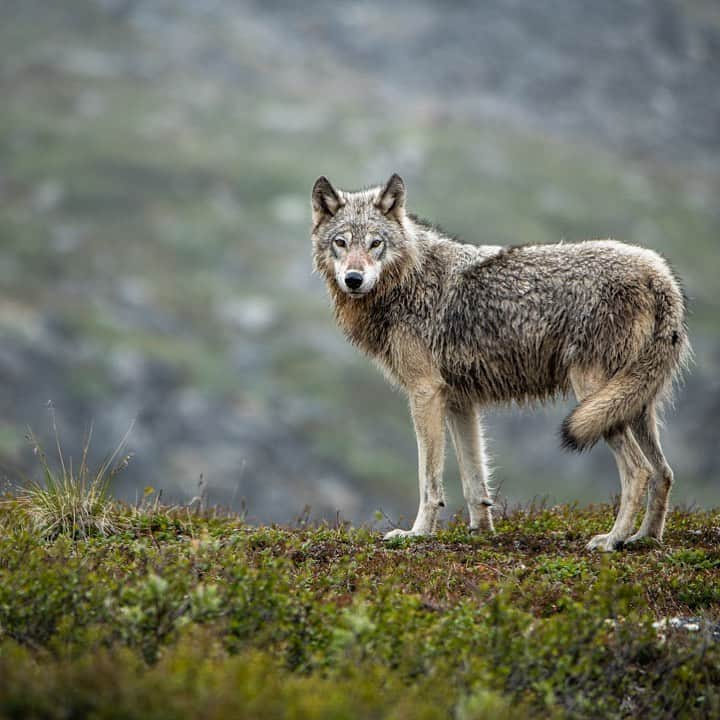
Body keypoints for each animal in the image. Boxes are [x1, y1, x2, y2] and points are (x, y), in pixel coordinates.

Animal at [310, 174, 692, 552]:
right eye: (341, 243)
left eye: (375, 244)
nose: (354, 279)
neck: (408, 279)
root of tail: (660, 275)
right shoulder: (459, 402)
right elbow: (474, 481)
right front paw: (480, 532)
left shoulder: (425, 393)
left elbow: (429, 481)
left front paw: (417, 533)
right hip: (631, 404)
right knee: (664, 473)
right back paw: (645, 538)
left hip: (595, 398)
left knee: (639, 471)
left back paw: (613, 539)